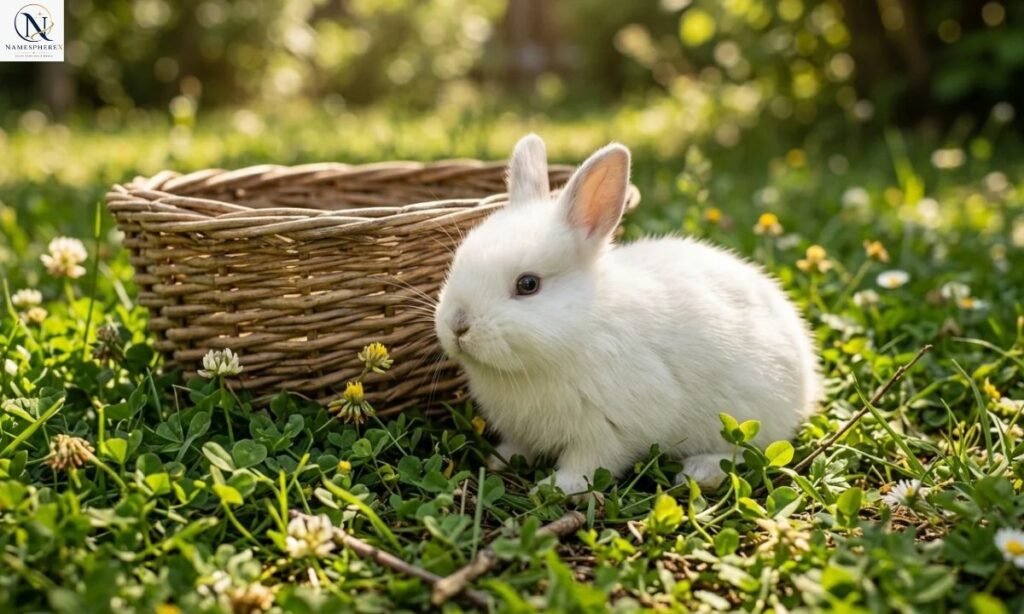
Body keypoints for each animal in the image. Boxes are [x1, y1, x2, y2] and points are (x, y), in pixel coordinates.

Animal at [433, 134, 822, 496]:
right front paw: (498, 460)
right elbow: (519, 446)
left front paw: (555, 488)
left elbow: (588, 462)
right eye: (457, 262)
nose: (457, 325)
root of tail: (807, 371)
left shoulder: (607, 430)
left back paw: (701, 472)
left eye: (528, 284)